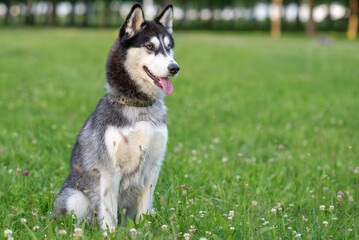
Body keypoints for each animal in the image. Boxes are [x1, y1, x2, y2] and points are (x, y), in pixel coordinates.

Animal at [54, 3, 180, 229]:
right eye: (149, 46)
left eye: (169, 46)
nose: (174, 68)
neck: (139, 108)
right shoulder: (110, 170)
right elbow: (108, 211)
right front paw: (110, 233)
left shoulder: (152, 167)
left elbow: (144, 211)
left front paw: (143, 230)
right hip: (76, 198)